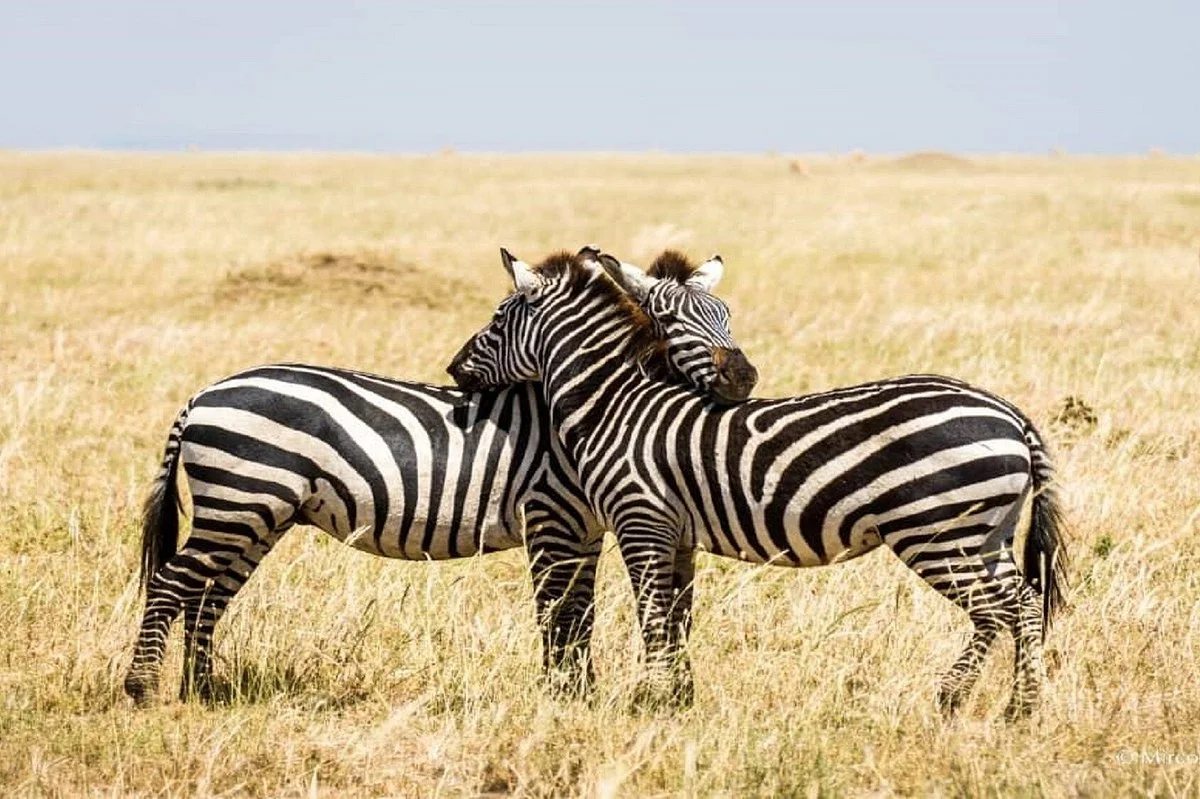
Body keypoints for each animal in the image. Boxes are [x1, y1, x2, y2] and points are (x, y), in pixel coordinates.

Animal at [123, 247, 758, 706]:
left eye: (727, 317)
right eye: (670, 321)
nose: (745, 378)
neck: (603, 406)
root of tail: (203, 393)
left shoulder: (586, 531)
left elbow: (580, 615)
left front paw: (579, 694)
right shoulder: (551, 518)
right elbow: (559, 614)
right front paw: (565, 698)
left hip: (255, 513)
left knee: (208, 595)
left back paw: (203, 692)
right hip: (239, 502)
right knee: (172, 584)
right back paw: (142, 690)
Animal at [446, 248, 1070, 719]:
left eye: (498, 320)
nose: (453, 370)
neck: (616, 407)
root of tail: (1012, 415)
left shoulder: (641, 519)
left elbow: (652, 612)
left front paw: (648, 700)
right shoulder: (677, 534)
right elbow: (676, 615)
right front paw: (675, 700)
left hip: (938, 532)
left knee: (996, 611)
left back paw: (957, 698)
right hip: (987, 533)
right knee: (1024, 604)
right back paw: (1019, 708)